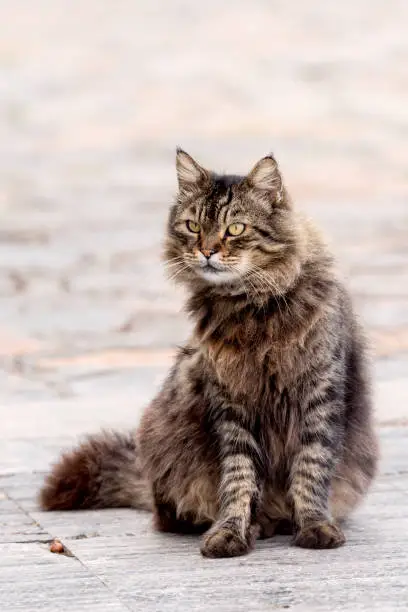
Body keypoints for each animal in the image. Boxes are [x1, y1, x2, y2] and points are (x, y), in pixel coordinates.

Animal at [40, 151, 380, 556]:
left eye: (235, 229)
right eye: (193, 226)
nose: (206, 251)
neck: (251, 310)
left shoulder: (320, 393)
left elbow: (311, 469)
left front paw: (314, 525)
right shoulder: (230, 404)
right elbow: (239, 478)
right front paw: (231, 531)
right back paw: (259, 525)